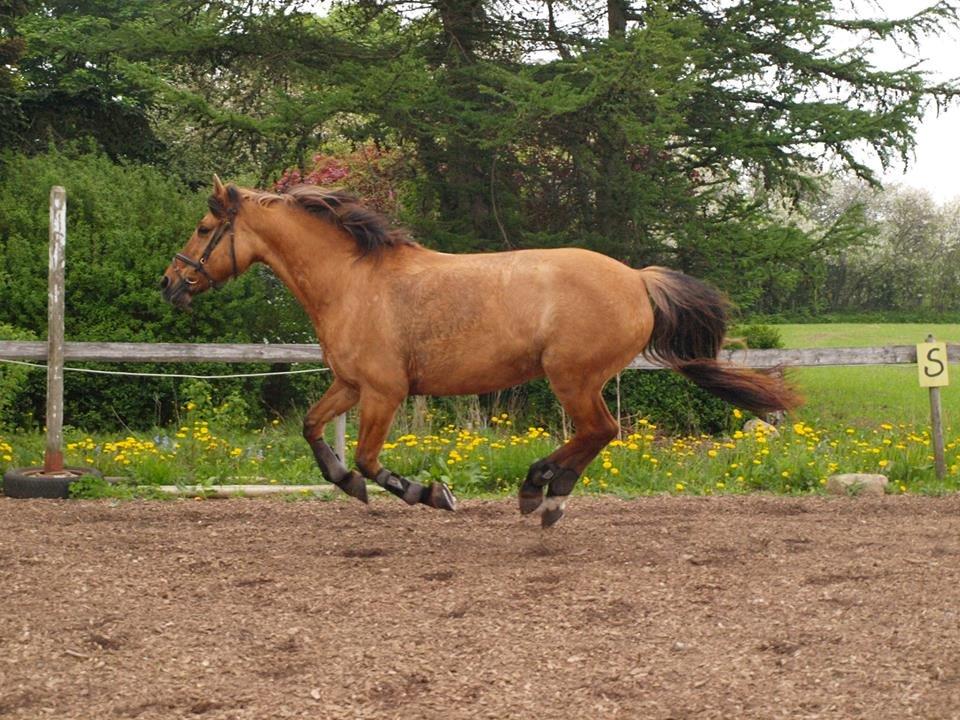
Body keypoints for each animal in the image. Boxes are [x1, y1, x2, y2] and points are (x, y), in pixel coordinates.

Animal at [161, 177, 800, 524]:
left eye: (202, 229)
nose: (169, 284)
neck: (352, 281)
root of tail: (637, 279)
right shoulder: (350, 384)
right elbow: (313, 429)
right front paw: (348, 484)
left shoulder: (385, 392)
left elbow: (368, 458)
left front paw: (430, 493)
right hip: (576, 379)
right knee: (597, 434)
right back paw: (543, 489)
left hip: (572, 377)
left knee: (601, 431)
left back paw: (542, 492)